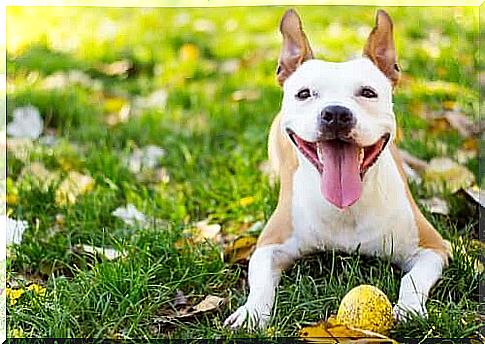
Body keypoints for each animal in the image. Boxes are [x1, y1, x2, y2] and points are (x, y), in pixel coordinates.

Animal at [224, 8, 450, 330]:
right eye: (304, 94)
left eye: (368, 93)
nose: (336, 113)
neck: (346, 209)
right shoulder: (269, 246)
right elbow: (261, 284)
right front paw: (251, 313)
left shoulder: (433, 248)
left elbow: (413, 279)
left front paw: (408, 308)